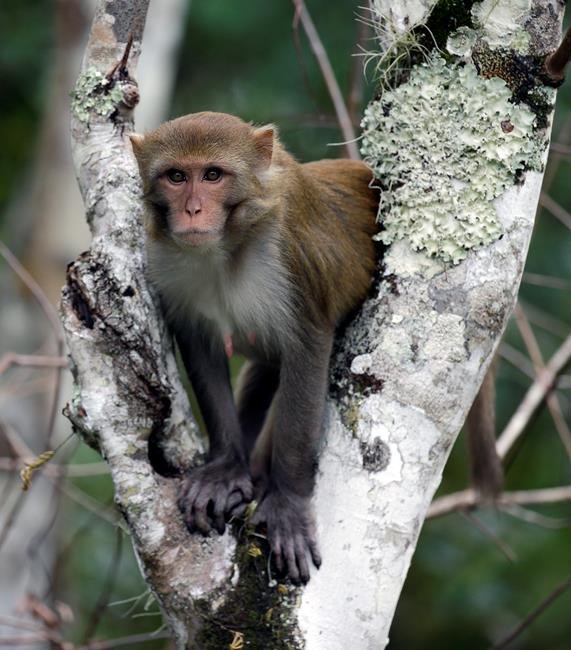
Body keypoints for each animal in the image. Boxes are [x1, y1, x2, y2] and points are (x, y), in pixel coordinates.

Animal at [130, 111, 379, 584]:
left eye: (212, 175)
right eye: (176, 176)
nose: (192, 210)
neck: (227, 246)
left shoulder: (293, 256)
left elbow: (308, 346)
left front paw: (287, 504)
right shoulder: (166, 264)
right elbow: (200, 346)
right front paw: (227, 468)